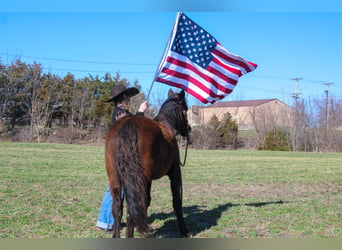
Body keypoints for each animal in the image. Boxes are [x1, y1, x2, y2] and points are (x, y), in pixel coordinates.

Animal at [105, 89, 190, 237]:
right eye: (185, 109)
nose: (188, 129)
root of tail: (128, 125)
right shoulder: (175, 173)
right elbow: (176, 201)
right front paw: (184, 230)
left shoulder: (148, 179)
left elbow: (147, 201)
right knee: (131, 209)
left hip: (115, 178)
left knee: (118, 208)